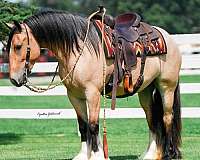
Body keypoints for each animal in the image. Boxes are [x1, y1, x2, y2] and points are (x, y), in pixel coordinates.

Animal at [5, 8, 181, 159]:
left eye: (18, 46)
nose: (14, 79)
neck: (78, 50)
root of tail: (167, 36)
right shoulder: (74, 96)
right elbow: (83, 126)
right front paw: (83, 155)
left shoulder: (93, 93)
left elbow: (93, 126)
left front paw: (97, 155)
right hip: (145, 90)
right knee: (152, 119)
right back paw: (150, 154)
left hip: (166, 87)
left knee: (167, 117)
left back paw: (170, 154)